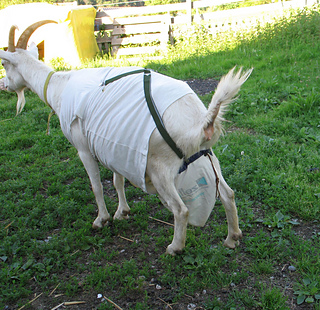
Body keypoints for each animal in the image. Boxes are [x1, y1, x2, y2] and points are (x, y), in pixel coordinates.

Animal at [0, 21, 252, 254]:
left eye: (4, 64)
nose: (3, 85)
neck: (59, 87)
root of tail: (202, 122)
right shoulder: (116, 145)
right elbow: (117, 181)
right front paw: (122, 212)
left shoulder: (83, 147)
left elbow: (96, 186)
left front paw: (101, 219)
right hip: (207, 155)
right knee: (228, 194)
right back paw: (232, 238)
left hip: (160, 168)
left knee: (181, 209)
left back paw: (175, 247)